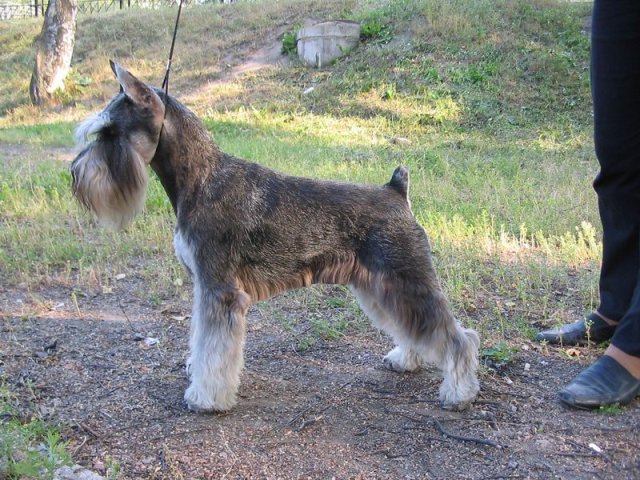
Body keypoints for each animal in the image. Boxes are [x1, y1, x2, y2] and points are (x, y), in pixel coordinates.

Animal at [71, 62, 480, 412]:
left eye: (109, 133)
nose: (75, 174)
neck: (200, 178)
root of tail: (396, 190)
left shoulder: (221, 291)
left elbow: (214, 350)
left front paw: (206, 397)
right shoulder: (205, 287)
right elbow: (201, 339)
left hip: (406, 278)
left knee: (458, 337)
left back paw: (459, 392)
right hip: (380, 286)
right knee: (411, 325)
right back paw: (405, 359)